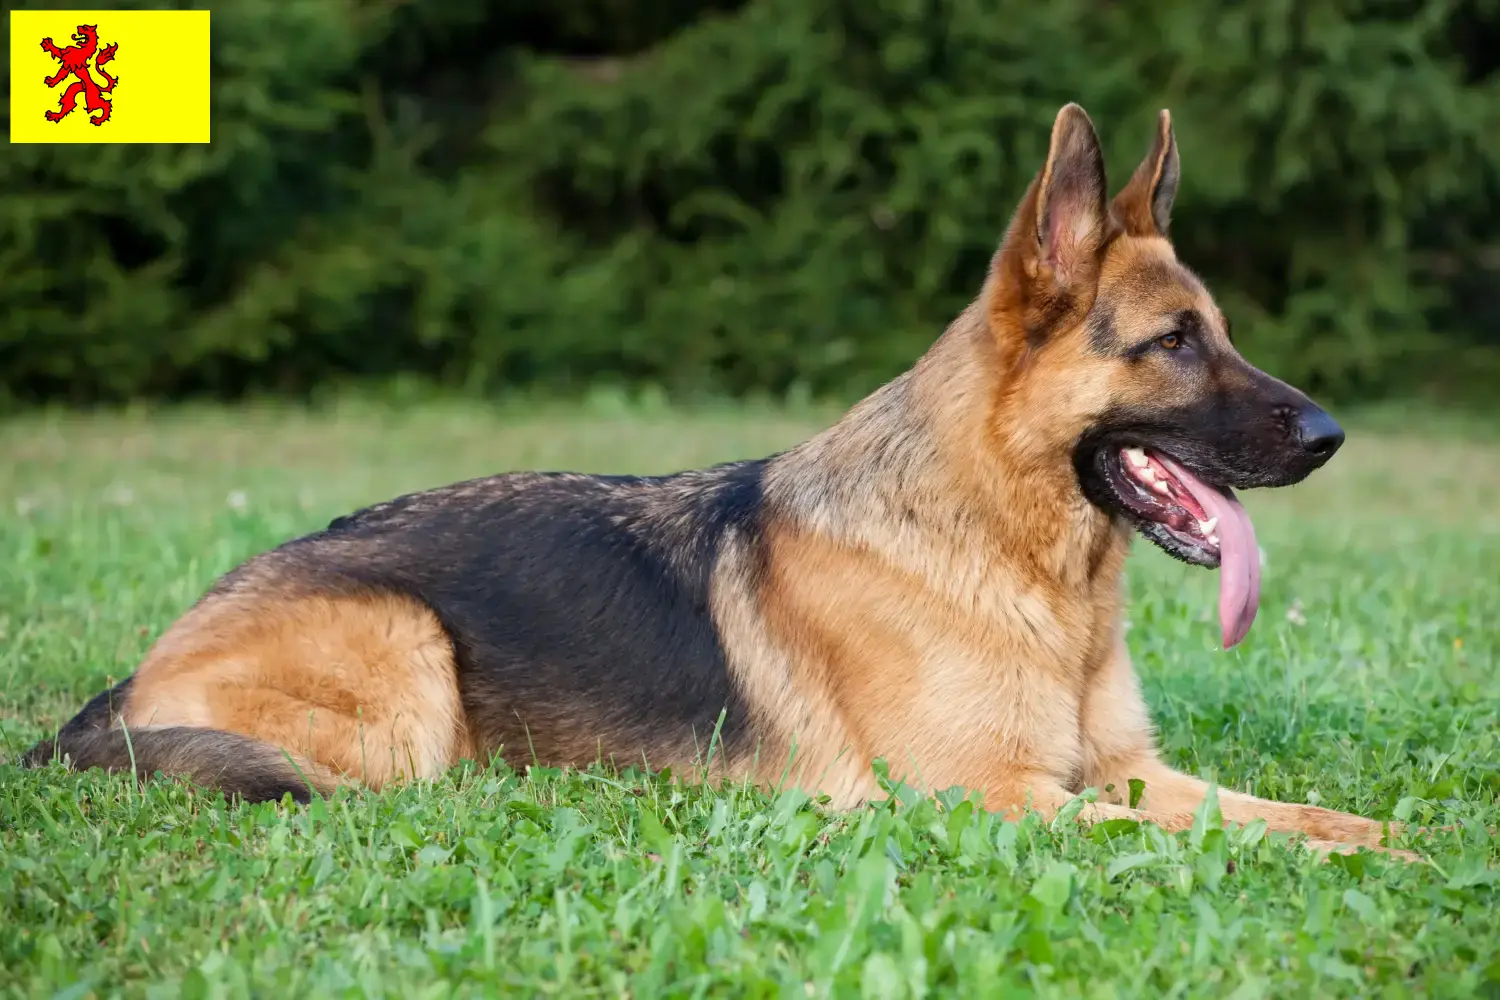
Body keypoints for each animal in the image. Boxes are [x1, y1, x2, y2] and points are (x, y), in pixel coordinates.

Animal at [23, 109, 1404, 863]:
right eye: (1173, 343)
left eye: (1220, 332)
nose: (1333, 434)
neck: (1018, 565)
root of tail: (137, 676)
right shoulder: (997, 801)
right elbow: (1203, 830)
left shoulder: (1119, 772)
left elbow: (1282, 810)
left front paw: (1395, 845)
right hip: (406, 657)